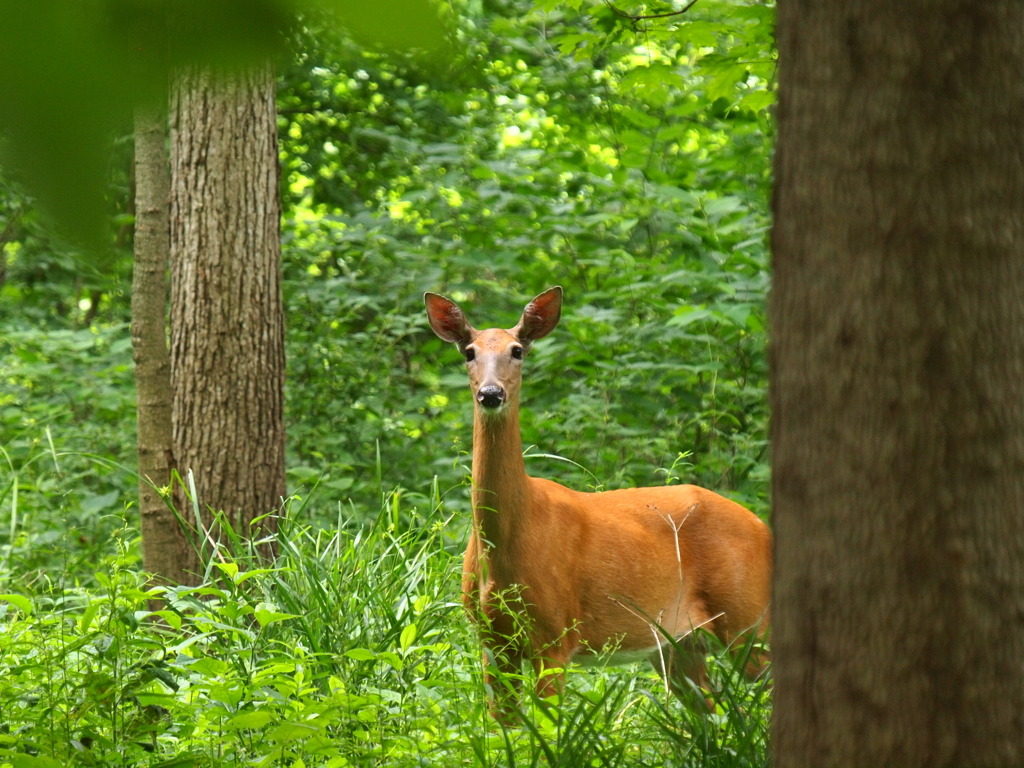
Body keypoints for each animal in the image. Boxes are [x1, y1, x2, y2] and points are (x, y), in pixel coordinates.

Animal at [421, 284, 770, 720]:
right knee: (713, 712)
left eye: (518, 350)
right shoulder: (491, 641)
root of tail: (762, 526)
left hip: (748, 616)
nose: (490, 393)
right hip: (679, 645)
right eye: (469, 351)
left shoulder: (554, 634)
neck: (507, 544)